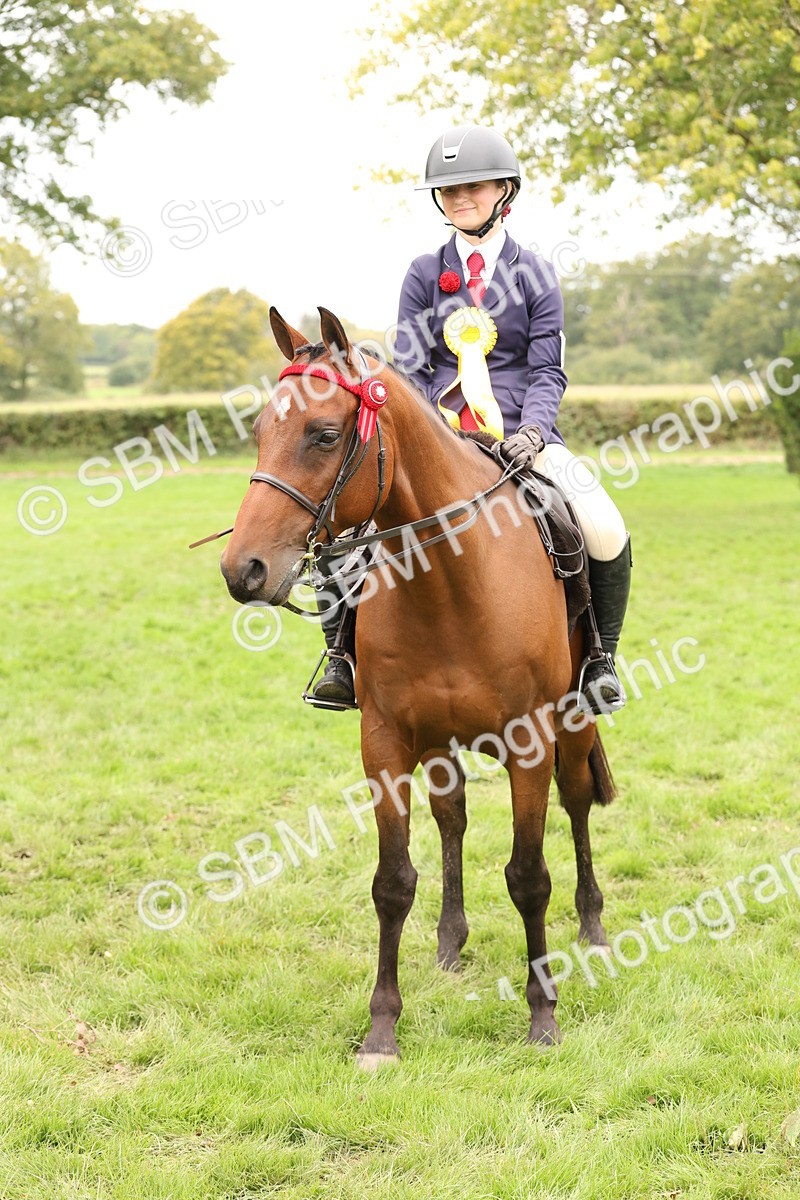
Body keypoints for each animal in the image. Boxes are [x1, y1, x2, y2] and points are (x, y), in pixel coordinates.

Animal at [219, 306, 616, 1069]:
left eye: (324, 433)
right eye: (259, 430)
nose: (242, 570)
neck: (452, 580)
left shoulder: (530, 741)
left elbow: (529, 876)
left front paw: (543, 1016)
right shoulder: (384, 741)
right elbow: (392, 881)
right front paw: (382, 1029)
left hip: (575, 720)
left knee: (577, 803)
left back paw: (593, 929)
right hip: (438, 740)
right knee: (452, 817)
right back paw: (450, 941)